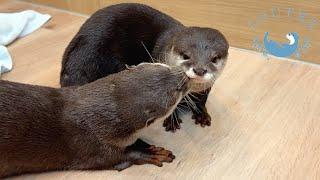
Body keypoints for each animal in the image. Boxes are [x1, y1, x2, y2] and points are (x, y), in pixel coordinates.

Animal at [0, 63, 190, 177]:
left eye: (164, 67)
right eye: (177, 89)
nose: (187, 76)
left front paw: (145, 145)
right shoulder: (90, 145)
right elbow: (115, 158)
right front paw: (150, 153)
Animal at [60, 2, 229, 131]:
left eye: (214, 58)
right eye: (185, 55)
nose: (199, 70)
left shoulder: (207, 87)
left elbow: (202, 101)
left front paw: (202, 114)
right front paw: (171, 120)